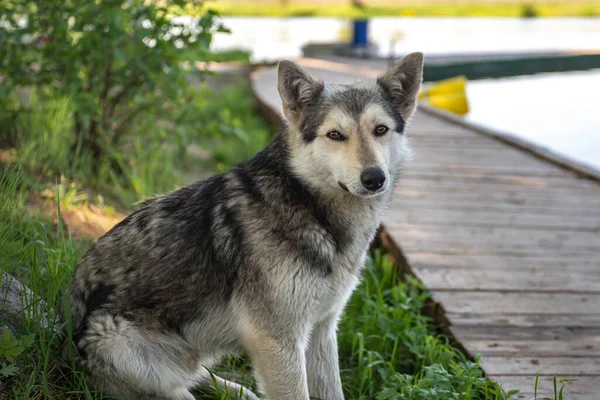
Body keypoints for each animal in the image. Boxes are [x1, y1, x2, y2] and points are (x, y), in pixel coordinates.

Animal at [64, 53, 422, 400]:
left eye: (380, 130)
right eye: (335, 135)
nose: (374, 178)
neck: (312, 211)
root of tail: (62, 325)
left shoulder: (322, 329)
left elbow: (333, 392)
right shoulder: (278, 340)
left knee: (197, 375)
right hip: (120, 345)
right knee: (177, 389)